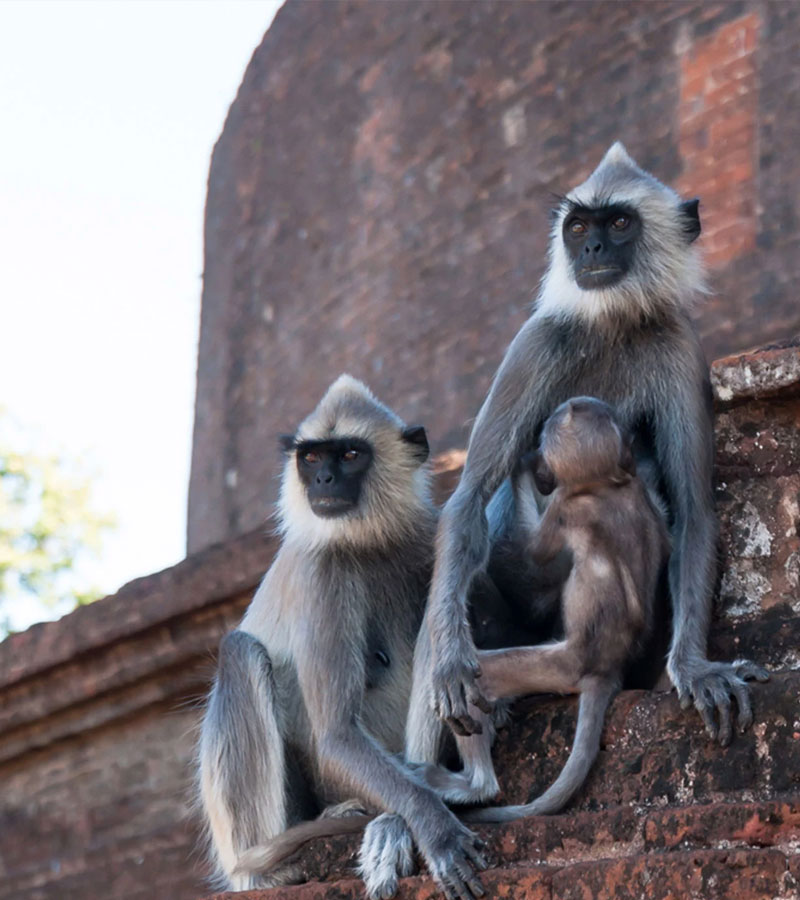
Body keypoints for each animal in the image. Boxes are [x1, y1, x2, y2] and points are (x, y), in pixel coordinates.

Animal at [197, 375, 487, 900]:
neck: (368, 541)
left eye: (350, 454)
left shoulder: (428, 535)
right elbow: (336, 735)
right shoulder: (321, 569)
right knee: (240, 652)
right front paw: (435, 828)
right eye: (311, 458)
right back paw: (266, 868)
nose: (323, 481)